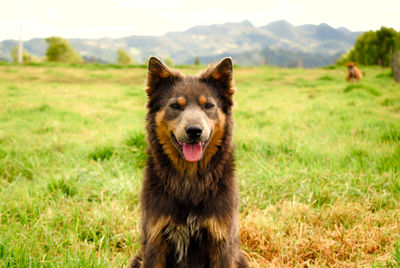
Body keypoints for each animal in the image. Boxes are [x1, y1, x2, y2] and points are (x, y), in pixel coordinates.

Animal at [131, 57, 248, 268]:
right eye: (175, 106)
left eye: (208, 105)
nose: (194, 131)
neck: (190, 177)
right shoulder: (154, 241)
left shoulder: (222, 242)